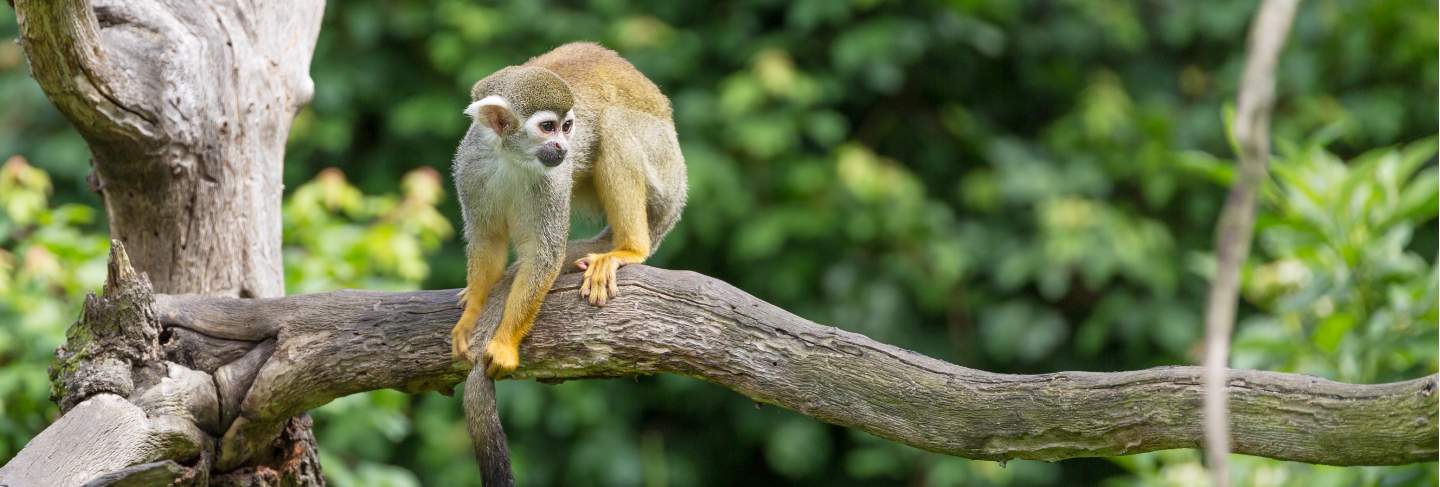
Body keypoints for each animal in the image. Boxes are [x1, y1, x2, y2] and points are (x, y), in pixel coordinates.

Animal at [452, 43, 688, 484]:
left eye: (568, 127)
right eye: (548, 127)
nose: (563, 147)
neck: (510, 157)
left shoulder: (552, 178)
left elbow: (543, 254)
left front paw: (503, 343)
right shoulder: (471, 164)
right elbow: (487, 242)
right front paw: (472, 314)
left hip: (663, 169)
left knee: (614, 124)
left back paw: (630, 248)